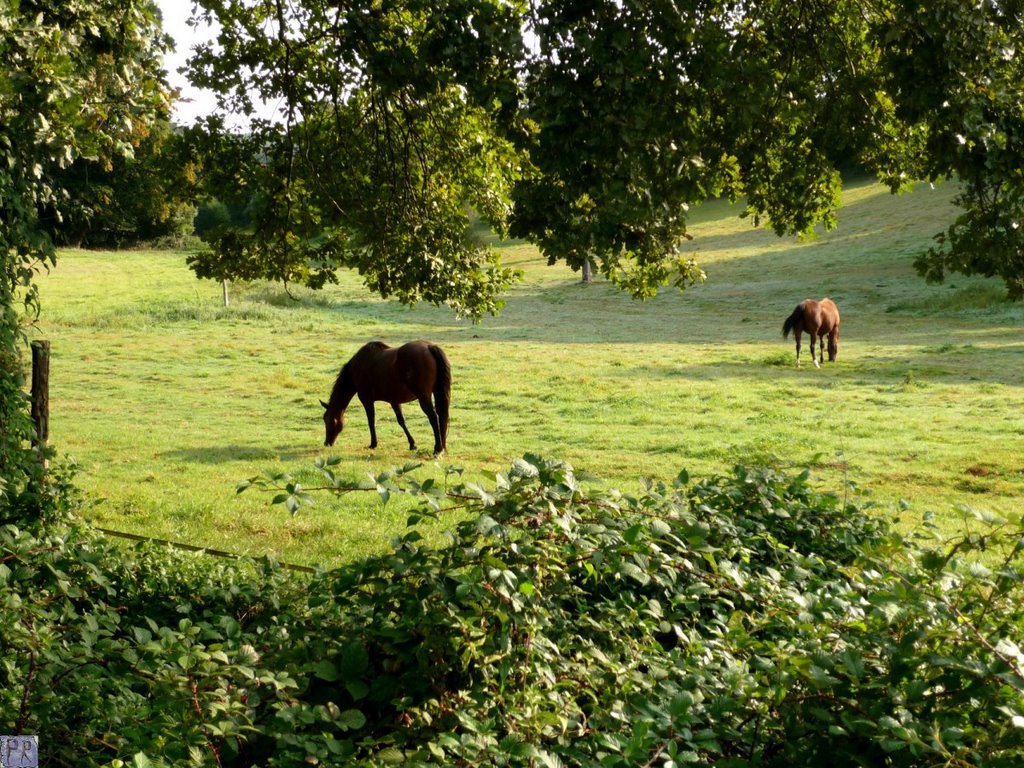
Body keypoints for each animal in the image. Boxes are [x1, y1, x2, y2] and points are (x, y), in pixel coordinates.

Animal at [317, 339, 450, 454]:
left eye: (328, 420)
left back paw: (438, 449)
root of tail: (429, 347)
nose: (327, 443)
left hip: (424, 397)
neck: (359, 365)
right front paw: (412, 444)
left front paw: (373, 444)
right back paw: (442, 447)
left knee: (434, 417)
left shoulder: (366, 400)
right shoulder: (394, 400)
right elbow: (401, 421)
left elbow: (371, 421)